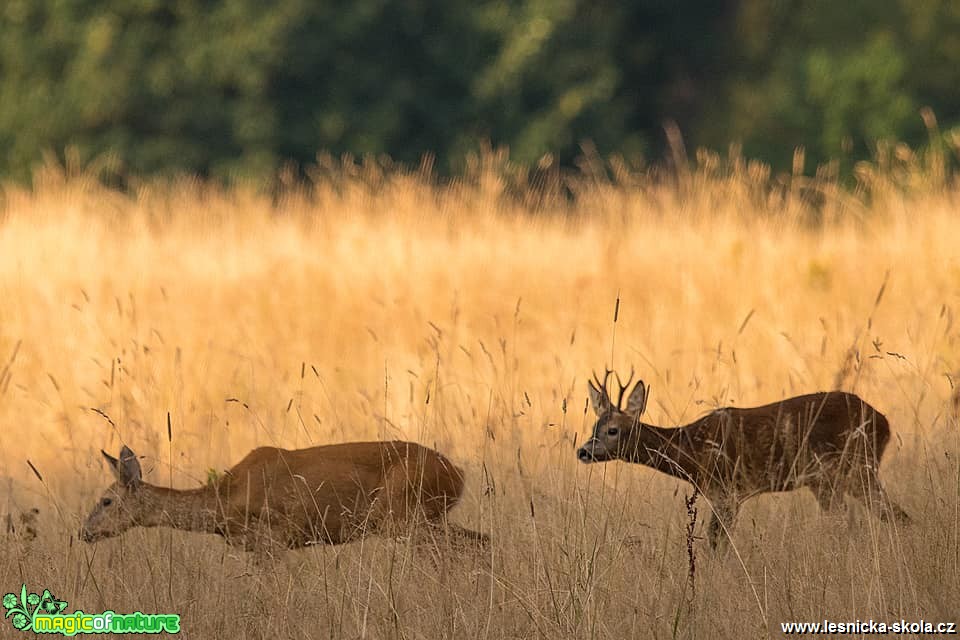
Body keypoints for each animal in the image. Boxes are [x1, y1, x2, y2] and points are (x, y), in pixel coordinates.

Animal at [81, 440, 488, 556]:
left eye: (106, 501)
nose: (83, 532)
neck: (223, 500)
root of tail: (457, 473)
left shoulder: (271, 538)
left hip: (404, 514)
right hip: (424, 517)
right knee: (483, 540)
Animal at [572, 370, 912, 552]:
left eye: (613, 430)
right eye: (594, 426)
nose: (583, 451)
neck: (692, 450)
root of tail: (884, 422)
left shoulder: (727, 490)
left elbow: (716, 542)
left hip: (854, 467)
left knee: (889, 516)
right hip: (831, 480)